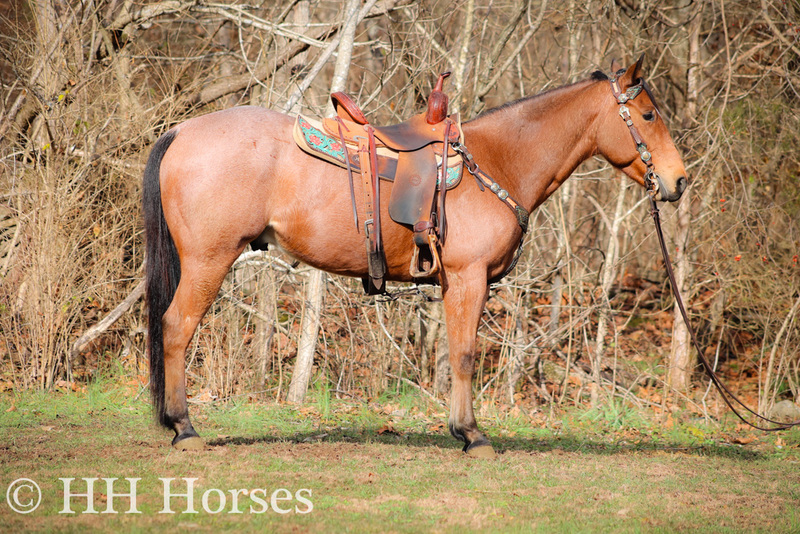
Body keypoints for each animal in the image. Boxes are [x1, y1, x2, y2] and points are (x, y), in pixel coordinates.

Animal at [143, 56, 687, 458]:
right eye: (648, 115)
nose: (679, 181)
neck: (498, 161)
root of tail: (182, 132)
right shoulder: (468, 278)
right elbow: (465, 354)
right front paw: (472, 435)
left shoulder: (455, 282)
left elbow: (455, 353)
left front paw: (462, 430)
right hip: (209, 261)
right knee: (176, 327)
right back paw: (184, 428)